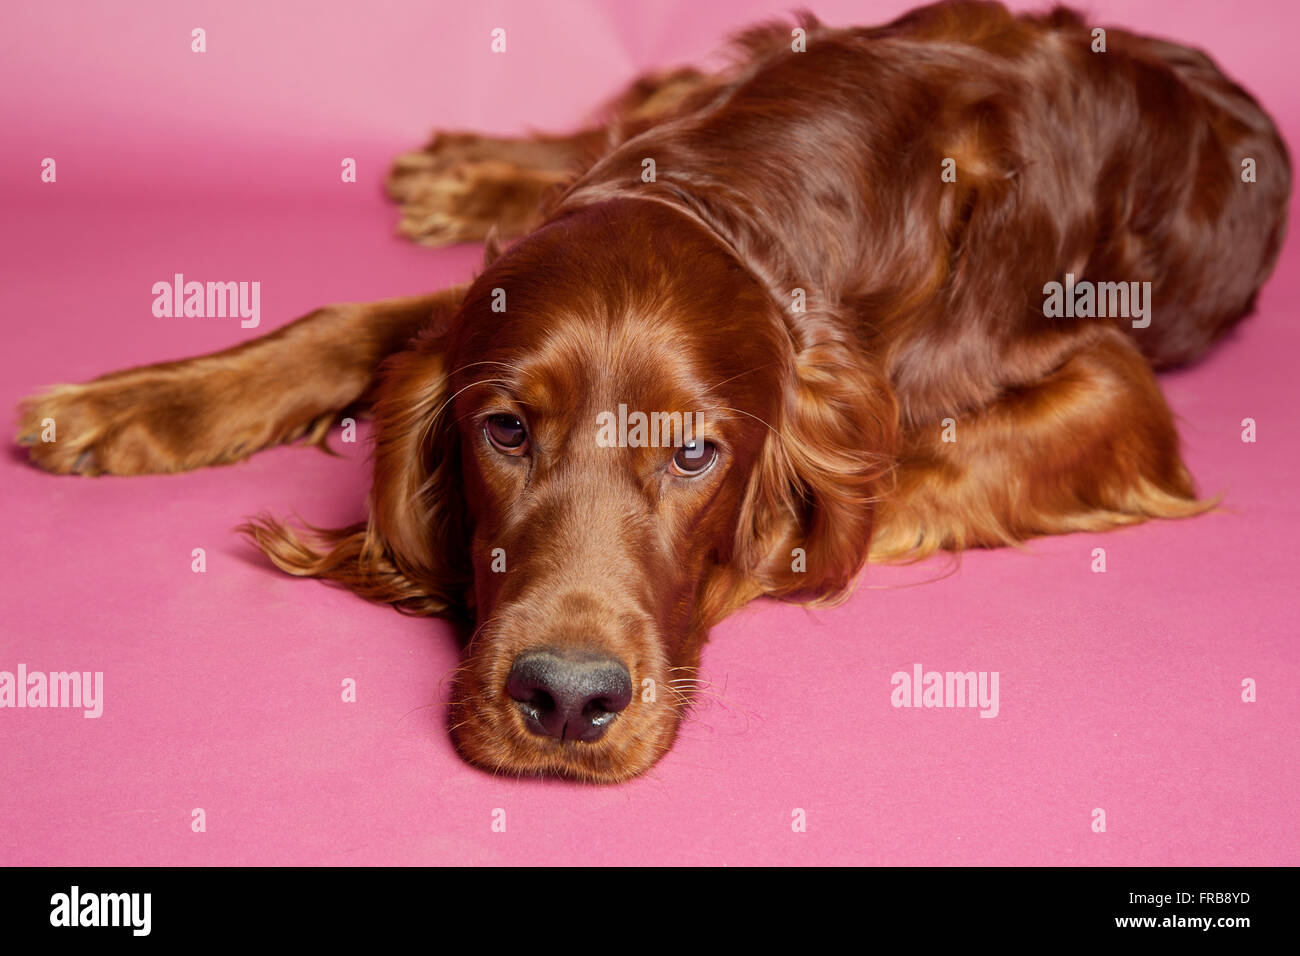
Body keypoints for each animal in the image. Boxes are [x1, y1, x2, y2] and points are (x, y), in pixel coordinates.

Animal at [17, 1, 1289, 785]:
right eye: (504, 430)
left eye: (693, 455)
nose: (565, 700)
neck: (763, 185)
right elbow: (360, 324)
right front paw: (136, 402)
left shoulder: (1111, 389)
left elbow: (883, 479)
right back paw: (467, 167)